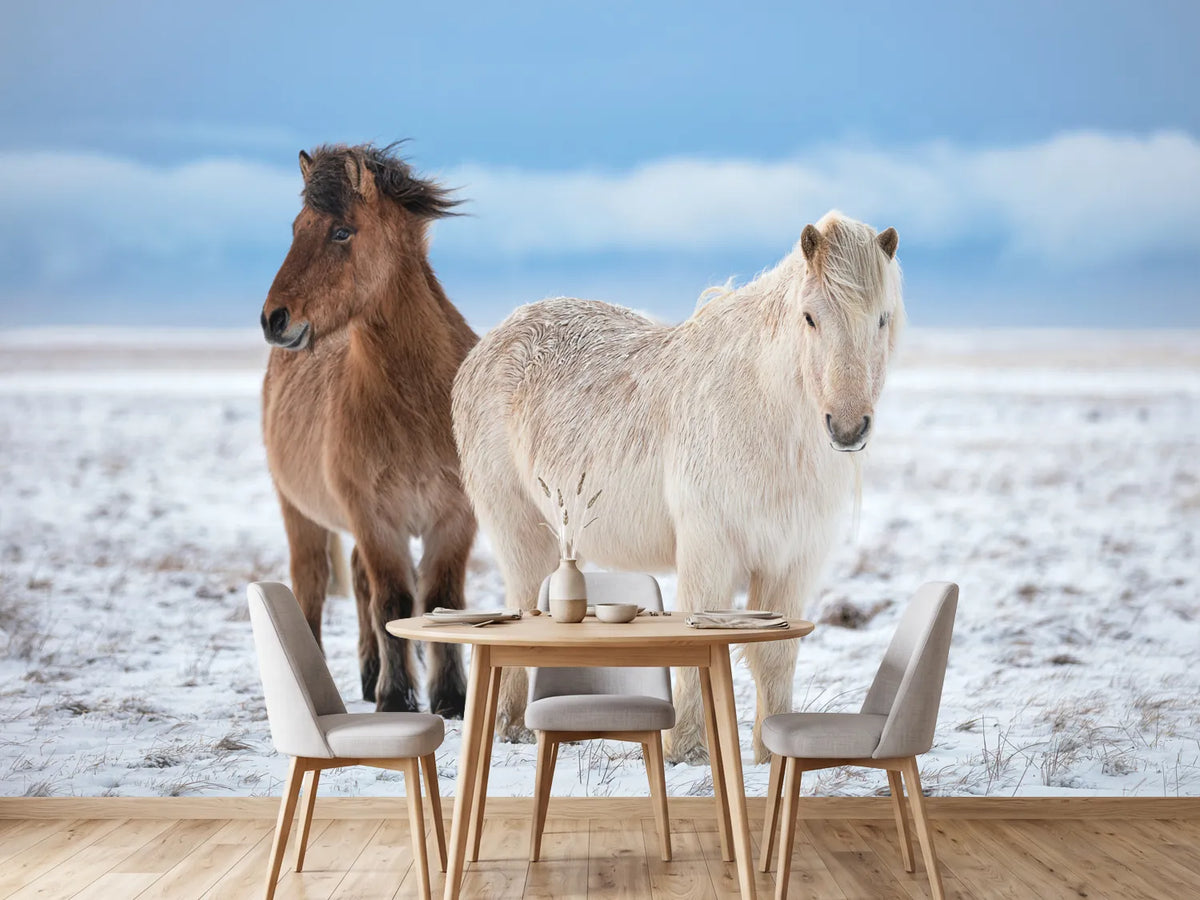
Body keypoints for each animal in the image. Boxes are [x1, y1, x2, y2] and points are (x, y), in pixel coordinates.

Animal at [260, 143, 478, 717]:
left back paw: (367, 672)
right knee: (312, 586)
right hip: (300, 513)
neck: (418, 405)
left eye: (341, 231)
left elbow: (441, 599)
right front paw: (396, 698)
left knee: (357, 581)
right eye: (297, 227)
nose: (274, 319)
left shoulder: (455, 518)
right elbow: (393, 603)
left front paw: (451, 698)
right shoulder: (376, 518)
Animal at [452, 210, 904, 763]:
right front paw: (687, 750)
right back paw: (510, 728)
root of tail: (490, 342)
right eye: (810, 318)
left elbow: (774, 656)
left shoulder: (794, 559)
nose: (847, 427)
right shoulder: (709, 548)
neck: (763, 416)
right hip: (520, 529)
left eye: (881, 319)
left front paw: (771, 755)